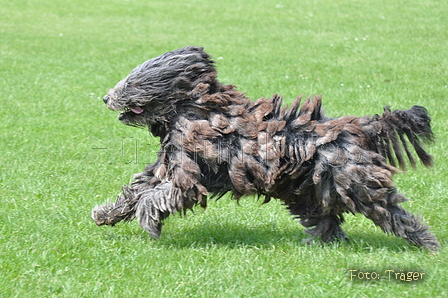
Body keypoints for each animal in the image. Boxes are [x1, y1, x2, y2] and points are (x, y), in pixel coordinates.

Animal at [91, 45, 438, 250]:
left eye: (132, 83)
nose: (106, 98)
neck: (192, 111)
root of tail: (357, 127)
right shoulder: (166, 167)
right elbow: (137, 190)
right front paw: (106, 214)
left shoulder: (189, 176)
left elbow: (156, 197)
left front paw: (148, 222)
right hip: (308, 190)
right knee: (327, 218)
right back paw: (324, 245)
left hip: (356, 184)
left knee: (391, 212)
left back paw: (427, 243)